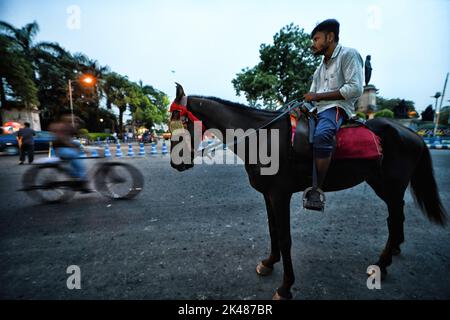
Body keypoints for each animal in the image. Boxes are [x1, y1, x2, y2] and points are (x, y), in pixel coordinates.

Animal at [168, 84, 446, 298]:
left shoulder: (280, 194)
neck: (263, 137)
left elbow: (285, 238)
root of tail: (411, 133)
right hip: (383, 185)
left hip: (391, 185)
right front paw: (269, 263)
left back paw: (382, 263)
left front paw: (285, 287)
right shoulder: (268, 194)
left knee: (395, 217)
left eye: (180, 123)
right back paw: (394, 250)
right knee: (396, 216)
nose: (176, 163)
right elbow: (272, 230)